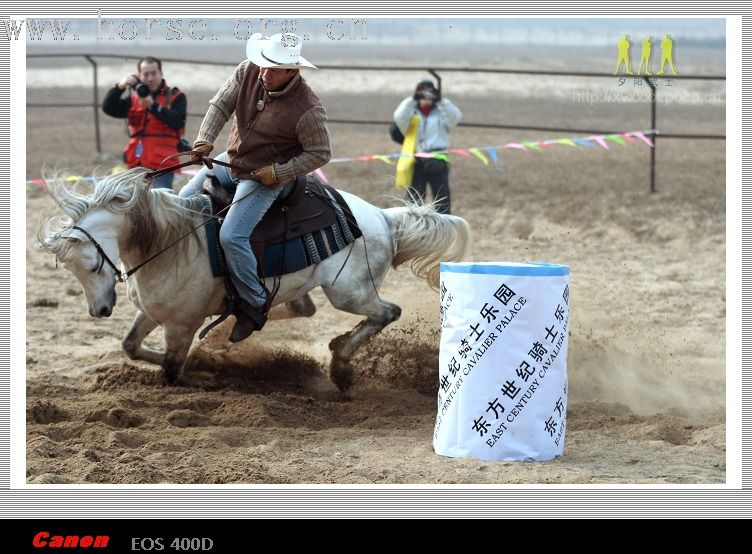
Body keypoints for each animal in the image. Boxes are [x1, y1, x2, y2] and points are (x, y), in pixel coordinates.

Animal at [39, 168, 470, 388]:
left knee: (387, 312)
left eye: (92, 265)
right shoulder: (153, 312)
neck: (171, 242)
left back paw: (341, 364)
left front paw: (201, 368)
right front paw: (208, 359)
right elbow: (130, 346)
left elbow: (172, 371)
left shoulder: (181, 323)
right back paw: (242, 323)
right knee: (302, 306)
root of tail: (381, 217)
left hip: (349, 292)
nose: (99, 310)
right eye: (74, 270)